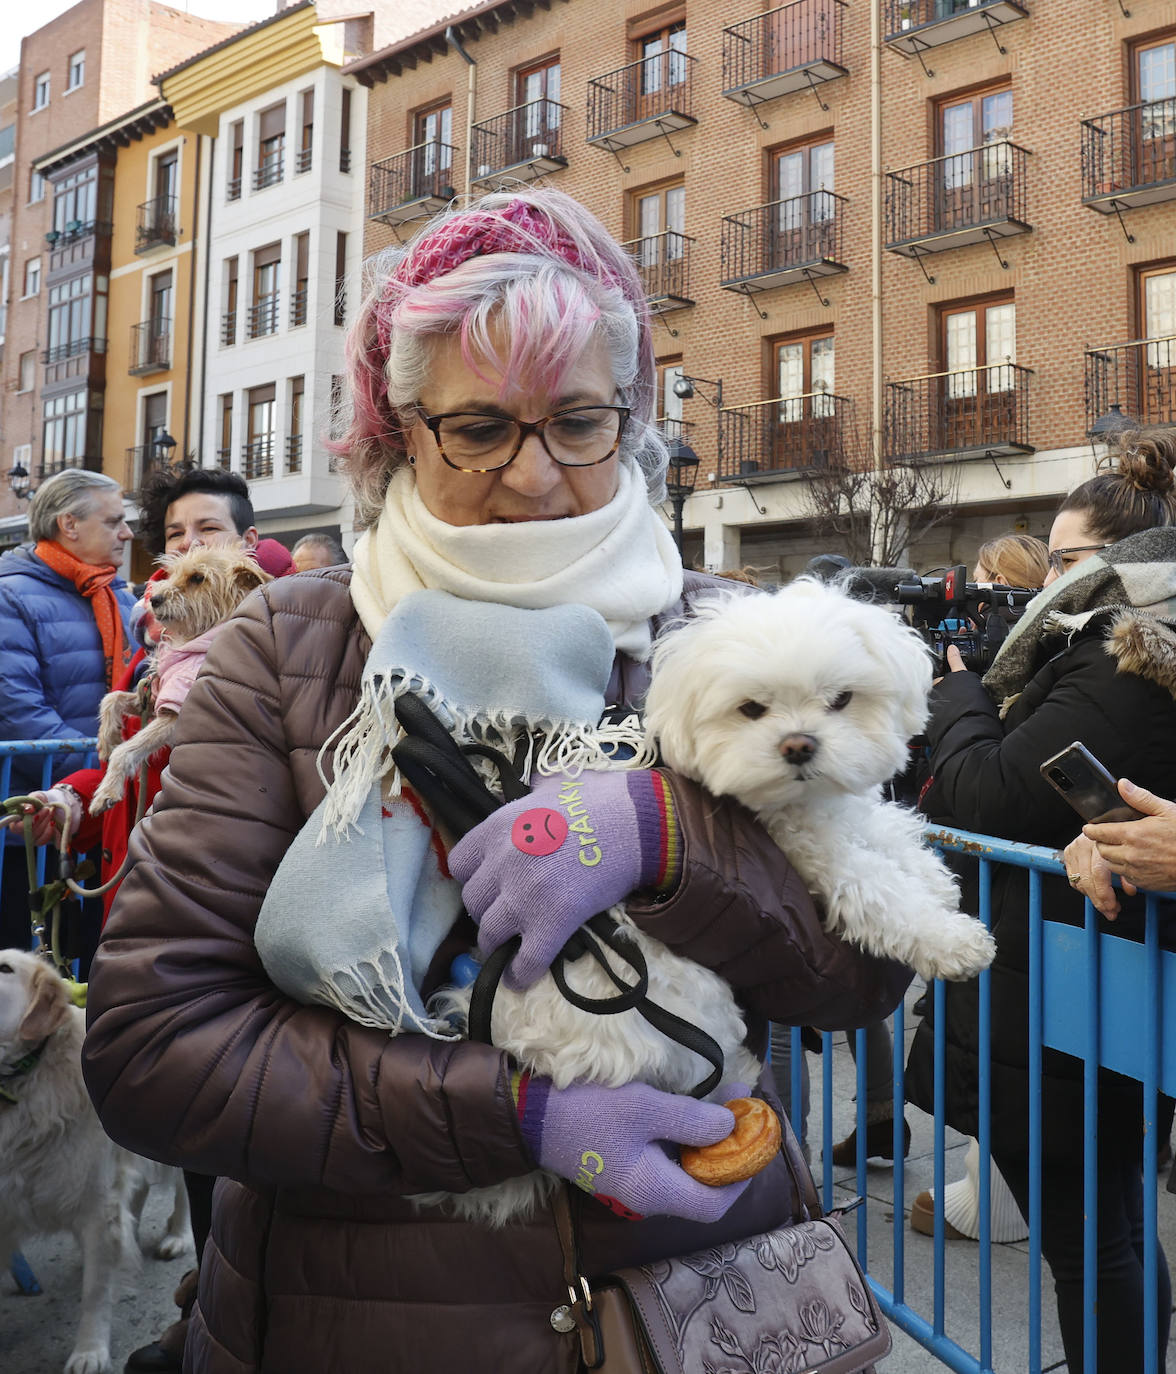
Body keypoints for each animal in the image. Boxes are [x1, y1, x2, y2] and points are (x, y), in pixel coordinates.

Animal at [642, 579, 994, 989]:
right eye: (751, 708)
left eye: (841, 698)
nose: (798, 746)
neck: (812, 800)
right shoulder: (817, 856)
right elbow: (884, 893)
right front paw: (955, 941)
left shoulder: (851, 811)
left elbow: (885, 831)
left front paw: (932, 877)